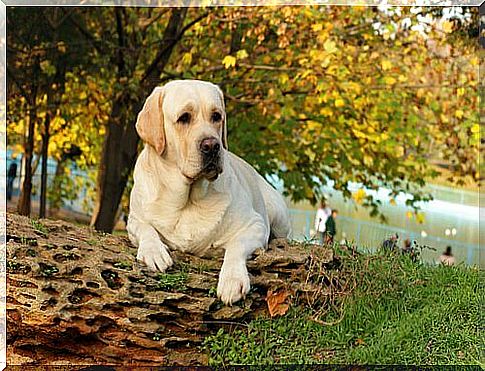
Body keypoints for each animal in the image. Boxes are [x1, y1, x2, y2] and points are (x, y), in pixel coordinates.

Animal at [126, 80, 290, 306]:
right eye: (184, 117)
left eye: (216, 116)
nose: (212, 145)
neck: (187, 199)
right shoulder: (133, 220)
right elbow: (145, 228)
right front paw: (154, 251)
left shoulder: (255, 224)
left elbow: (236, 245)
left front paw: (232, 280)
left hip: (278, 214)